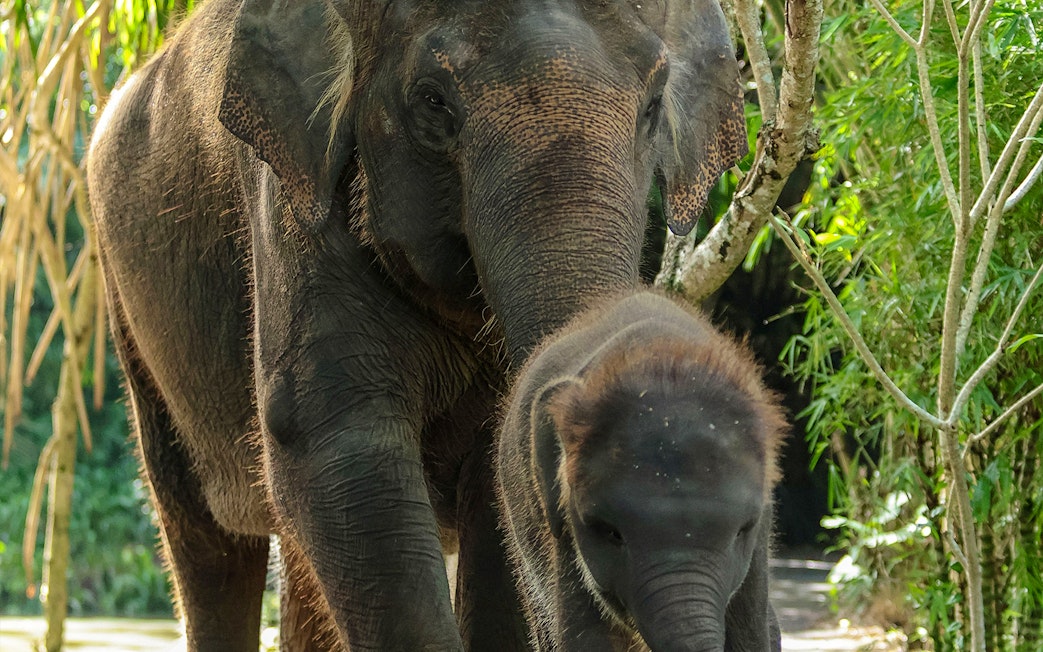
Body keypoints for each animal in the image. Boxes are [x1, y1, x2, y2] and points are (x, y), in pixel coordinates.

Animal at [85, 0, 747, 649]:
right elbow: (337, 446)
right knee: (207, 544)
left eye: (654, 103)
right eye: (433, 100)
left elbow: (492, 482)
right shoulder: (292, 206)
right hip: (133, 319)